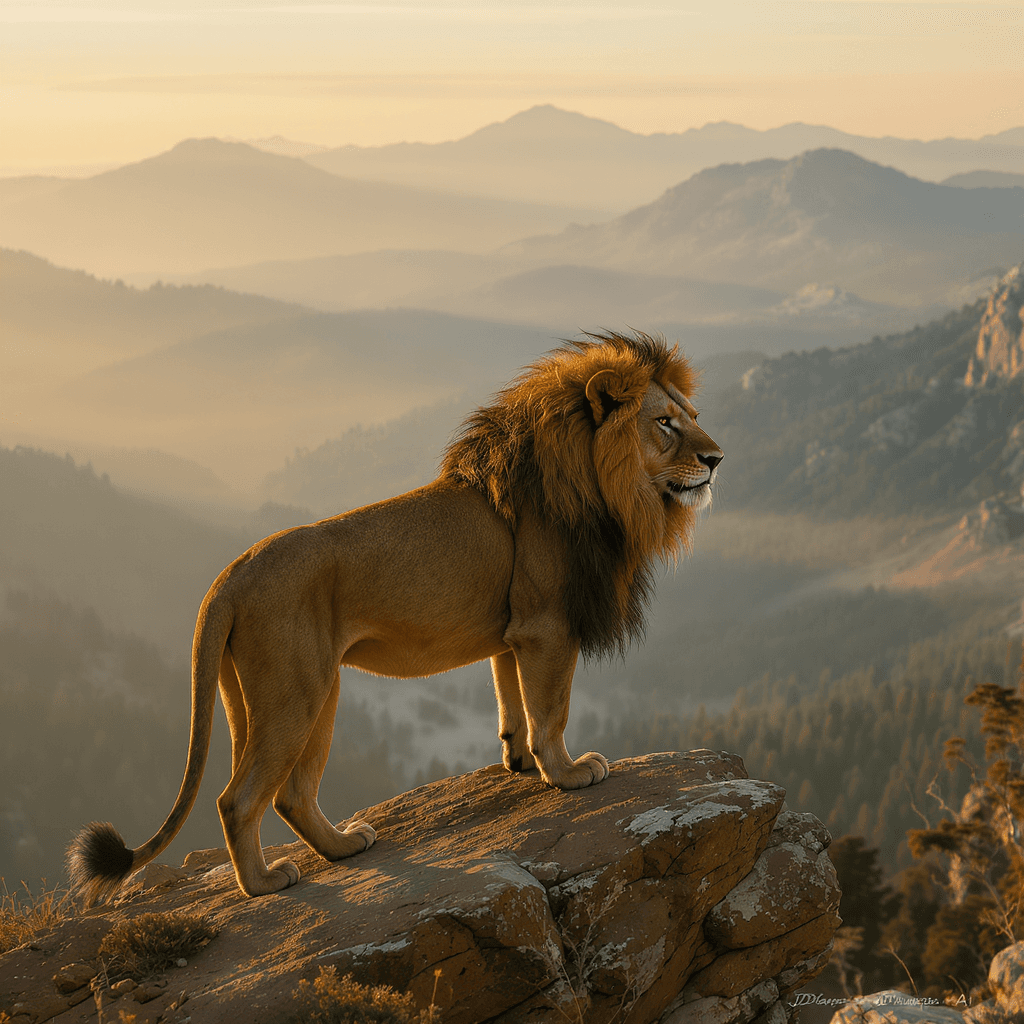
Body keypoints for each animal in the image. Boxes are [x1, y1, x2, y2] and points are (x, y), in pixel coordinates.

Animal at [68, 330, 723, 901]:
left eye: (692, 415)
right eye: (665, 422)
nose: (716, 458)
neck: (604, 487)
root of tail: (229, 575)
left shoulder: (515, 634)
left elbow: (511, 699)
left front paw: (516, 762)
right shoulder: (547, 628)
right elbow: (551, 710)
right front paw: (568, 773)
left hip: (278, 694)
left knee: (290, 795)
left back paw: (342, 847)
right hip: (295, 691)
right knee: (240, 798)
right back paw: (265, 883)